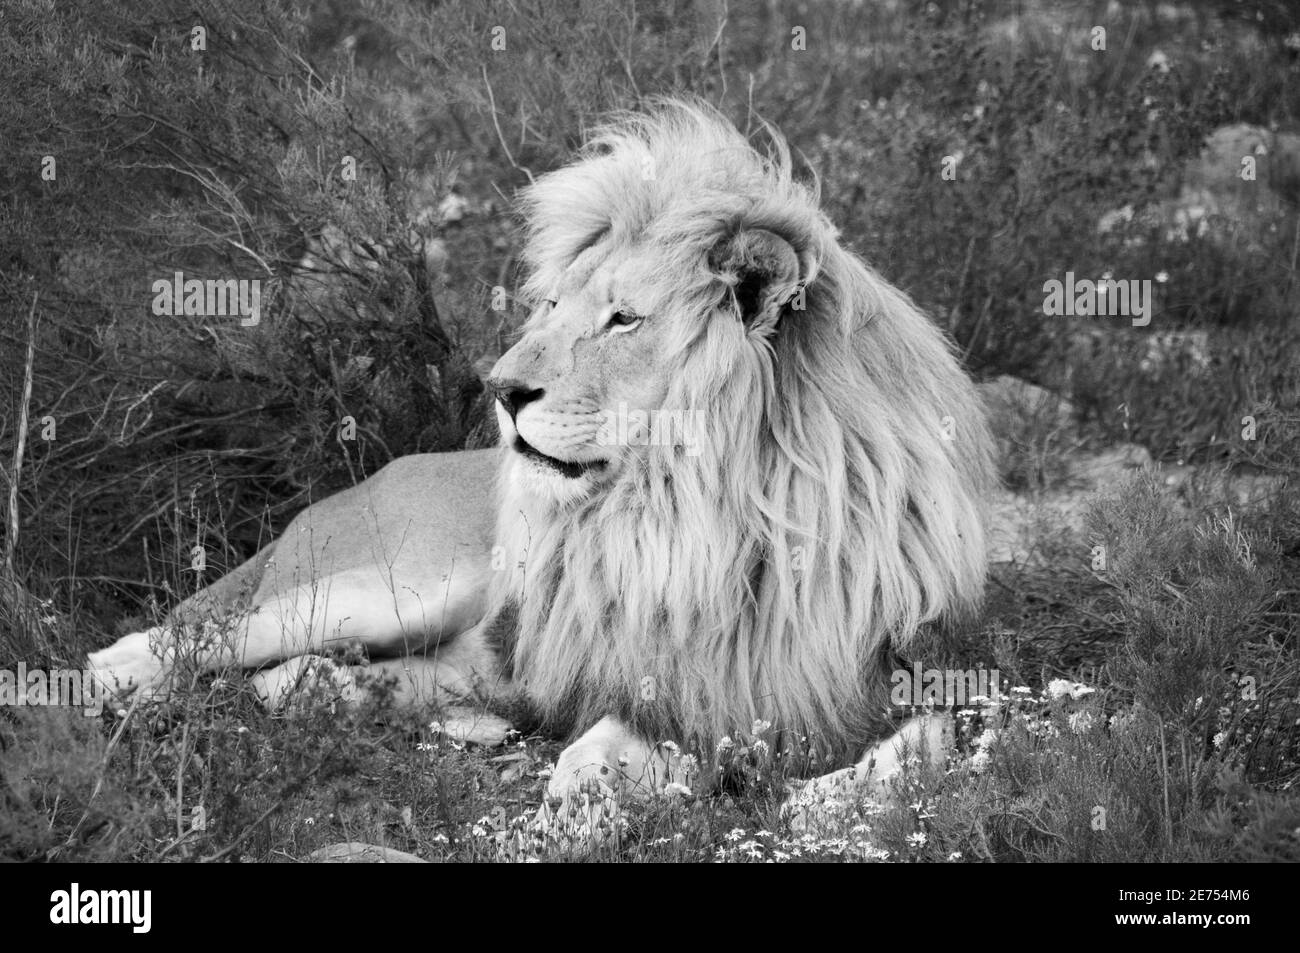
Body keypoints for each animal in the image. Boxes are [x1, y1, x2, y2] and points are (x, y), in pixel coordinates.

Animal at [88, 100, 994, 811]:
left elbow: (929, 741)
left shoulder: (906, 671)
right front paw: (587, 788)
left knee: (302, 677)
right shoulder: (660, 674)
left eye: (623, 319)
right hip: (394, 585)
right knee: (178, 639)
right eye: (554, 305)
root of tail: (365, 479)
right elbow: (610, 740)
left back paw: (366, 700)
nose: (500, 387)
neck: (708, 517)